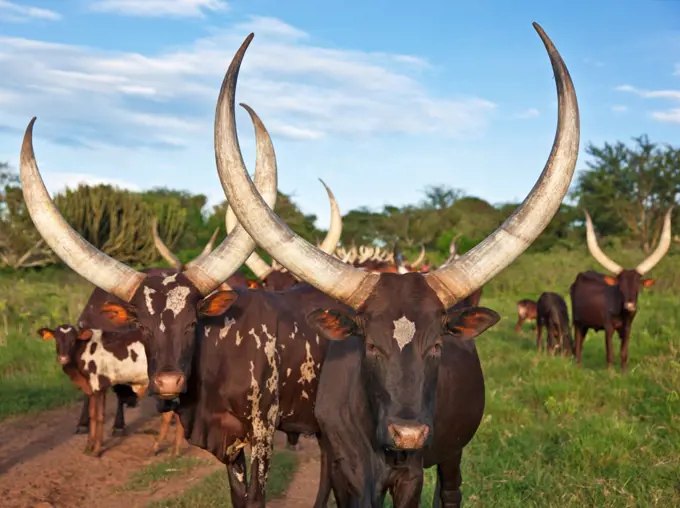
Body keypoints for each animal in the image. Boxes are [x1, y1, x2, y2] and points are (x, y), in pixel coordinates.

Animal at [211, 21, 580, 506]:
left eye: (437, 345)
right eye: (370, 345)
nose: (407, 434)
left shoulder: (411, 475)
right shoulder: (348, 471)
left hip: (452, 452)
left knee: (450, 490)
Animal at [568, 208, 676, 372]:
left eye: (638, 287)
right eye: (620, 287)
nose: (630, 305)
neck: (622, 313)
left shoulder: (627, 328)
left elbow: (624, 352)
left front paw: (624, 373)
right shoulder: (608, 327)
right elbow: (610, 353)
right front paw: (610, 373)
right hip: (577, 321)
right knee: (578, 344)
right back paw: (578, 366)